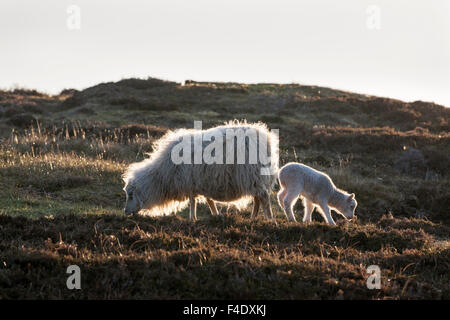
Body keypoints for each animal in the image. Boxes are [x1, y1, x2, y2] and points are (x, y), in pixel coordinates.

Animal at [121, 120, 280, 222]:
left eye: (131, 195)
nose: (125, 212)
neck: (162, 176)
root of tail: (265, 139)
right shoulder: (201, 182)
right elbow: (208, 200)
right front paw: (215, 214)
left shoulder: (189, 181)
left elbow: (193, 202)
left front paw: (193, 219)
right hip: (254, 179)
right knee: (257, 199)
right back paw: (253, 219)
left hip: (252, 175)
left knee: (264, 198)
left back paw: (270, 220)